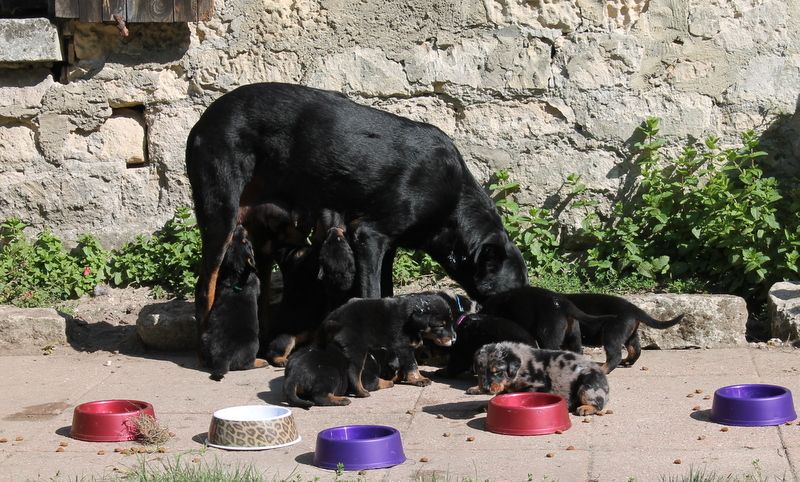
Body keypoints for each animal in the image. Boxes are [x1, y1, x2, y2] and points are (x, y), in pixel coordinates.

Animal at [184, 84, 528, 332]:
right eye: (506, 296)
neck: (453, 206)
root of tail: (200, 123)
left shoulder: (388, 245)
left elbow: (386, 290)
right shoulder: (369, 236)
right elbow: (372, 291)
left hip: (262, 230)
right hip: (221, 209)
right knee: (204, 289)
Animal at [200, 225, 266, 380]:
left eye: (231, 242)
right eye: (245, 241)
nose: (239, 226)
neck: (236, 274)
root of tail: (222, 357)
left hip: (205, 338)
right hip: (254, 343)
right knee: (246, 365)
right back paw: (260, 362)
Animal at [318, 290, 456, 396]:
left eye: (451, 322)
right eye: (440, 325)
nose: (454, 339)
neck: (411, 321)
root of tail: (332, 319)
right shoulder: (403, 347)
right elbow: (413, 365)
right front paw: (419, 379)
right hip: (356, 349)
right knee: (353, 372)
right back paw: (362, 392)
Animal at [468, 340, 608, 416]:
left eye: (497, 372)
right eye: (479, 371)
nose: (485, 389)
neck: (519, 369)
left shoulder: (538, 386)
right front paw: (486, 404)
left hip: (588, 385)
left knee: (598, 403)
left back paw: (586, 408)